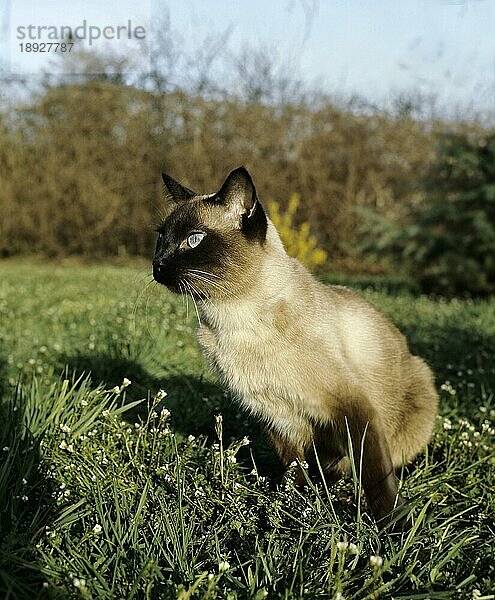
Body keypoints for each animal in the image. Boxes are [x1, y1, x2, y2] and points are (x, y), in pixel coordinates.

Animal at [153, 166, 440, 528]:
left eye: (193, 239)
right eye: (160, 238)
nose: (157, 265)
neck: (234, 320)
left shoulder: (353, 408)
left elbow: (377, 476)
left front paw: (392, 528)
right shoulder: (279, 417)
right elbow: (295, 473)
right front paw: (296, 508)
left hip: (419, 390)